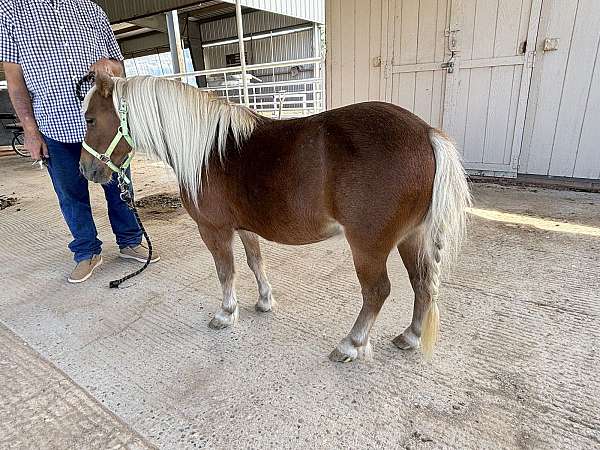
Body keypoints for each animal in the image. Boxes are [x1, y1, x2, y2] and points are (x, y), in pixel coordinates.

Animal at [79, 74, 472, 362]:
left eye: (91, 119)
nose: (87, 170)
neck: (209, 150)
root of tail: (426, 133)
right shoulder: (244, 227)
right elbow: (256, 262)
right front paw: (264, 301)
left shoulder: (214, 230)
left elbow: (226, 272)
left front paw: (226, 313)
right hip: (412, 237)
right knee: (423, 284)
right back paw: (410, 336)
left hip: (368, 245)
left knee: (377, 291)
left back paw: (351, 344)